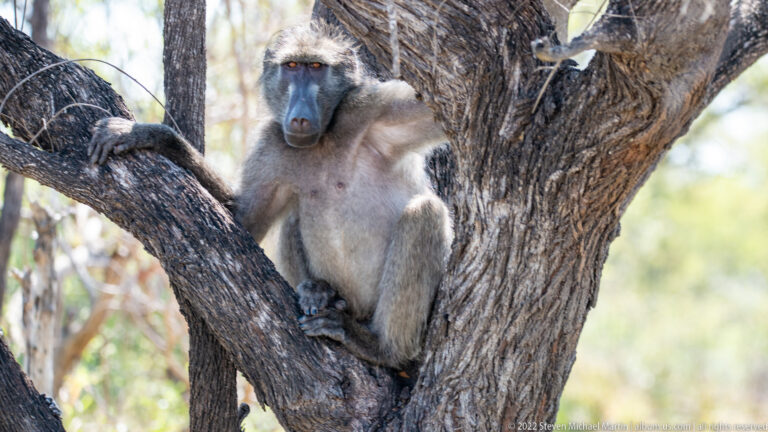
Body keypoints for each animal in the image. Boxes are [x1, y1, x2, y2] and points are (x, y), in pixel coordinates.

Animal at [88, 23, 453, 369]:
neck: (327, 137)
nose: (300, 115)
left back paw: (382, 347)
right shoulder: (273, 142)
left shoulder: (375, 108)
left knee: (424, 211)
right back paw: (318, 291)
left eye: (316, 67)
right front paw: (150, 136)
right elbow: (243, 220)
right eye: (291, 66)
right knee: (294, 216)